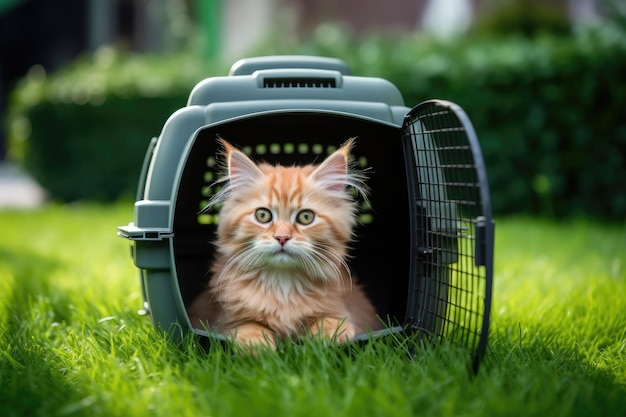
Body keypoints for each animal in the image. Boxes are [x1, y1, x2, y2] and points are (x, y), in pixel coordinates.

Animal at [185, 136, 380, 348]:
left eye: (305, 217)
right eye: (263, 215)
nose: (282, 237)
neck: (283, 284)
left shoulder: (345, 309)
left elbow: (330, 320)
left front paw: (327, 337)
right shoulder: (223, 318)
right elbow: (248, 325)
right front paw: (258, 344)